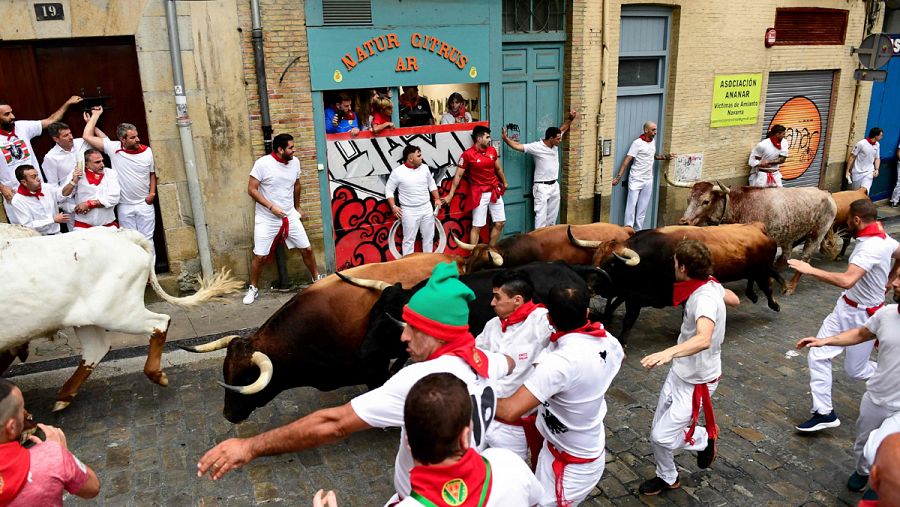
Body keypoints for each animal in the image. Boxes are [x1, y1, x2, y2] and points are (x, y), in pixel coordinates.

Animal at [0, 226, 243, 412]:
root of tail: (122, 235)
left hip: (116, 312)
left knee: (158, 322)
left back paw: (157, 375)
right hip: (88, 319)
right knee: (95, 349)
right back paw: (64, 397)